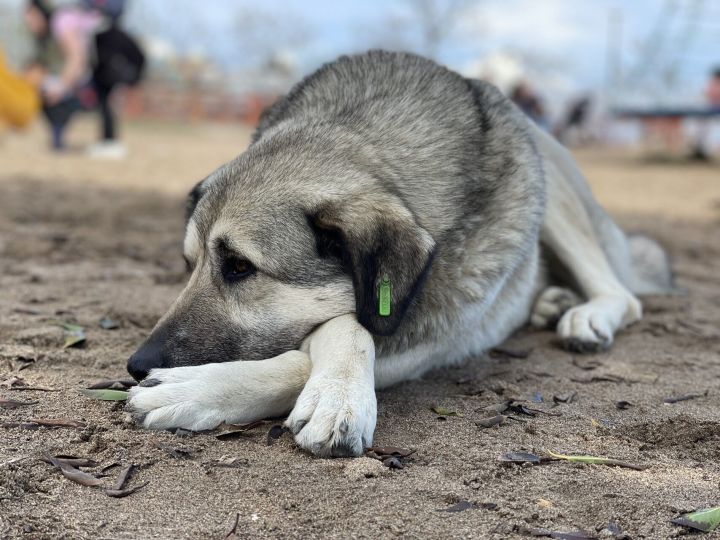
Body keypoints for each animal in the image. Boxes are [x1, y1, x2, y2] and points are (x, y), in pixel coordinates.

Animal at [125, 50, 676, 456]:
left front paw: (200, 390)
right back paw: (550, 301)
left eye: (240, 267)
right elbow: (341, 329)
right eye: (189, 265)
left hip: (554, 182)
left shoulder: (428, 332)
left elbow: (338, 334)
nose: (135, 364)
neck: (358, 133)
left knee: (623, 295)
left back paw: (586, 314)